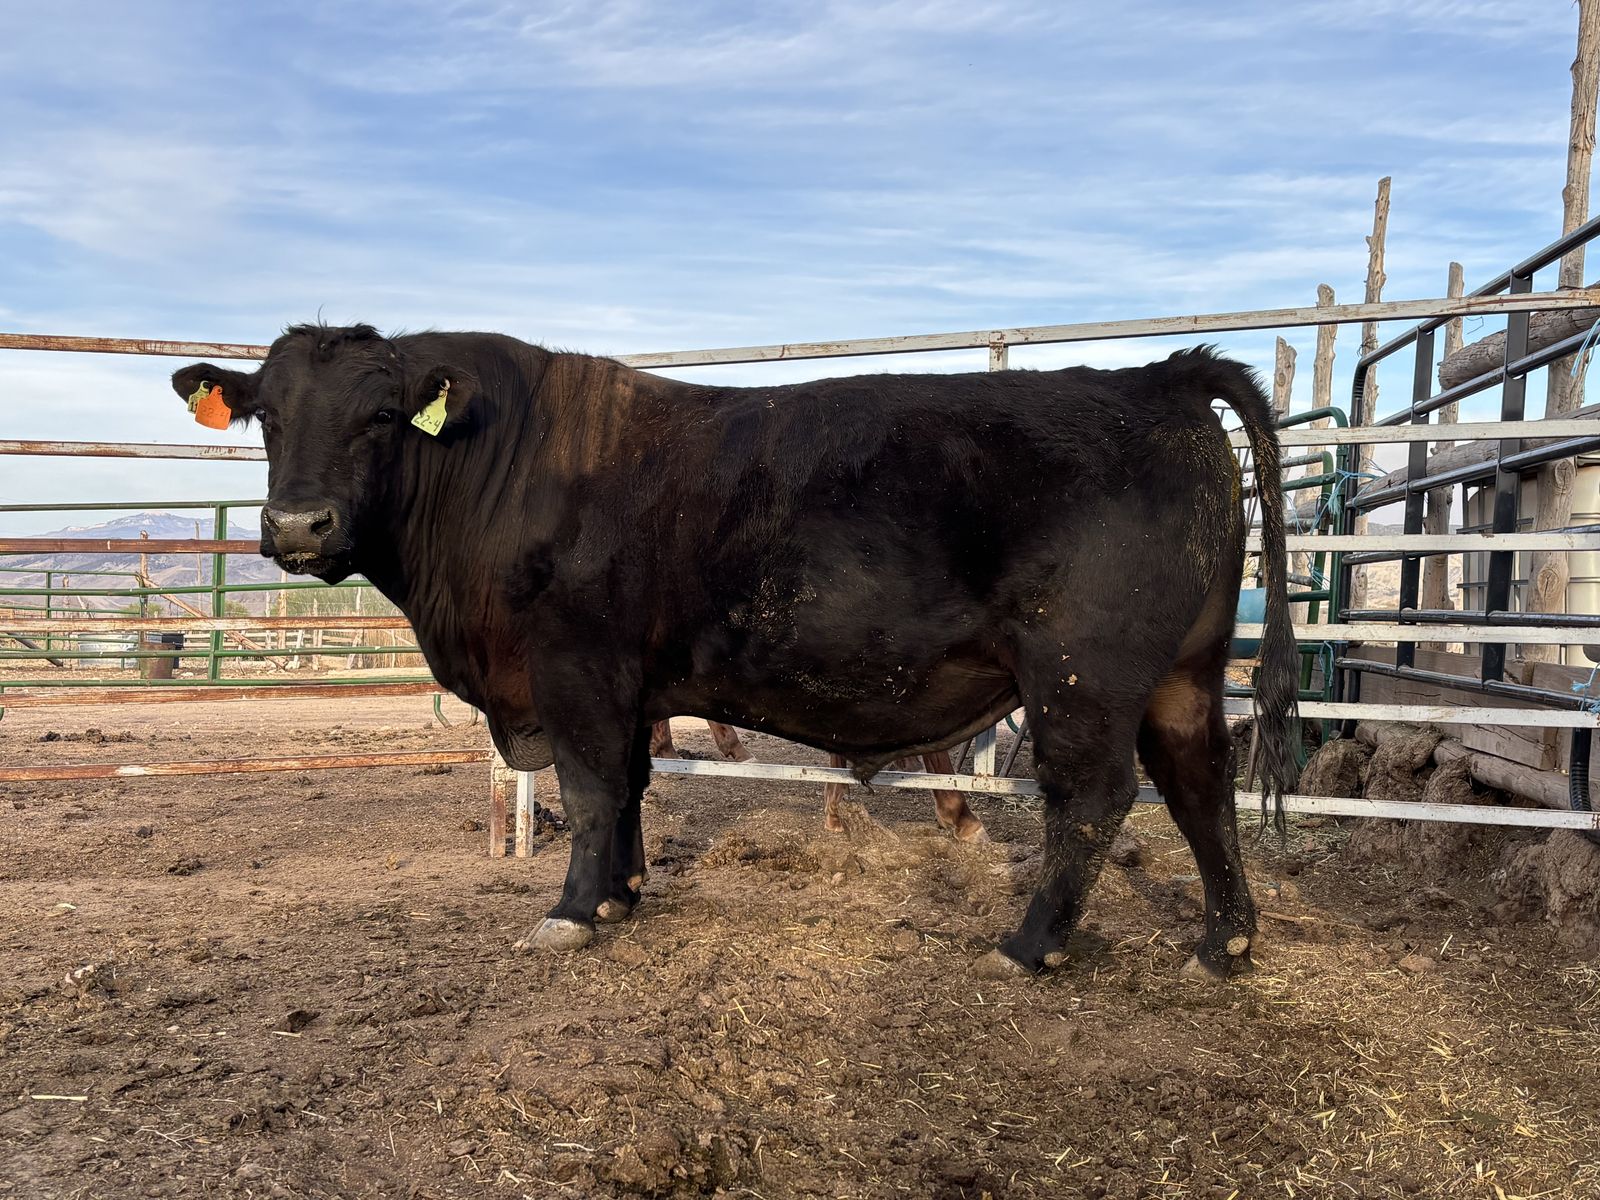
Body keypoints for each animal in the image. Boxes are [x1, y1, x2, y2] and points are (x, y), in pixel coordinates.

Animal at [171, 326, 1297, 979]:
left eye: (380, 415)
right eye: (266, 415)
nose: (298, 526)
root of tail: (1157, 377)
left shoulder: (576, 670)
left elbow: (590, 791)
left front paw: (571, 912)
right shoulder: (627, 689)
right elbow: (628, 789)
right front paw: (620, 894)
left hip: (1082, 675)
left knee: (1095, 798)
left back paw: (1029, 946)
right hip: (1184, 673)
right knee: (1201, 782)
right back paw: (1224, 943)